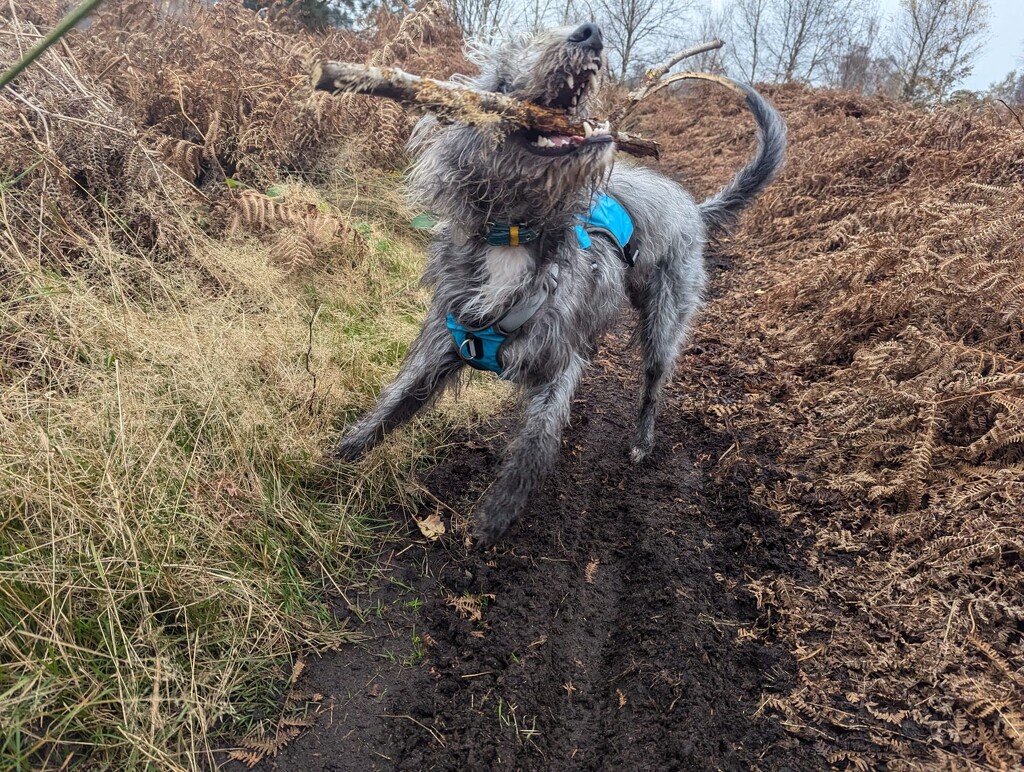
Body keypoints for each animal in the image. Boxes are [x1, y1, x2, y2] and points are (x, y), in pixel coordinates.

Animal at [339, 20, 786, 544]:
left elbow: (534, 445)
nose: (588, 33)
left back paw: (642, 439)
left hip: (664, 319)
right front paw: (340, 456)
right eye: (499, 84)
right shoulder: (445, 343)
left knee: (655, 380)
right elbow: (395, 404)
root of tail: (692, 207)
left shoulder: (557, 365)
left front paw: (497, 517)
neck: (514, 237)